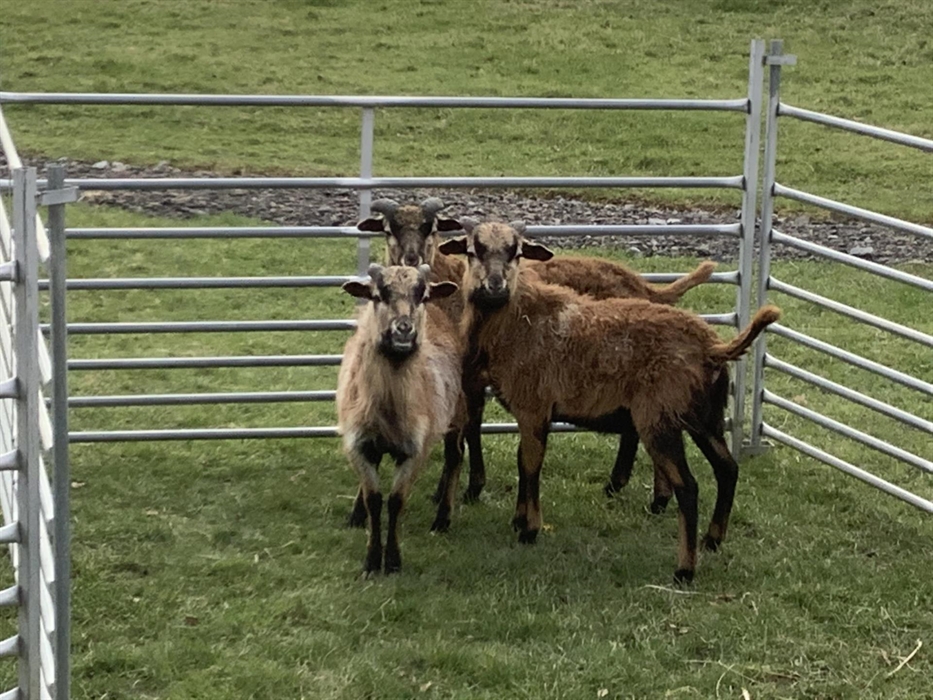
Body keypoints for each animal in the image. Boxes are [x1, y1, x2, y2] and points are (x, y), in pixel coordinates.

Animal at [336, 263, 466, 574]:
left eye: (422, 295)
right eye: (378, 295)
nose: (404, 330)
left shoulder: (414, 450)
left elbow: (396, 501)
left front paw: (392, 561)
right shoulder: (358, 445)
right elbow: (374, 499)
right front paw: (372, 561)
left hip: (458, 408)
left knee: (455, 456)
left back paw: (442, 518)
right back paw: (356, 514)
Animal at [439, 220, 780, 583]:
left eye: (516, 253)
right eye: (472, 251)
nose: (495, 286)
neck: (516, 320)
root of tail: (714, 348)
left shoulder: (534, 407)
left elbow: (531, 466)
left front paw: (529, 530)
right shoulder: (528, 411)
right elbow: (523, 462)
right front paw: (519, 521)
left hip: (659, 418)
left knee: (689, 488)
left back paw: (684, 570)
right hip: (705, 416)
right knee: (727, 468)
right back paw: (712, 540)